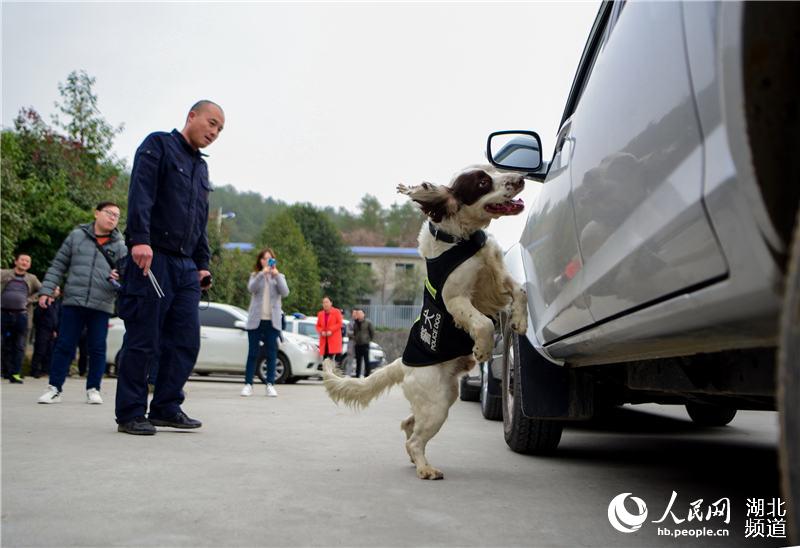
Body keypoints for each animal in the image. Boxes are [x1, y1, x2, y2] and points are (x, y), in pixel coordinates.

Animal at [322, 164, 528, 480]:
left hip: (443, 396)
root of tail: (402, 364)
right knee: (415, 438)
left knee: (408, 426)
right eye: (482, 181)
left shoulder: (499, 277)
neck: (461, 239)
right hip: (437, 403)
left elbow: (521, 292)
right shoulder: (456, 298)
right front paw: (481, 349)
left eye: (494, 169)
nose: (520, 178)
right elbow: (482, 323)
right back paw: (425, 468)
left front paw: (520, 322)